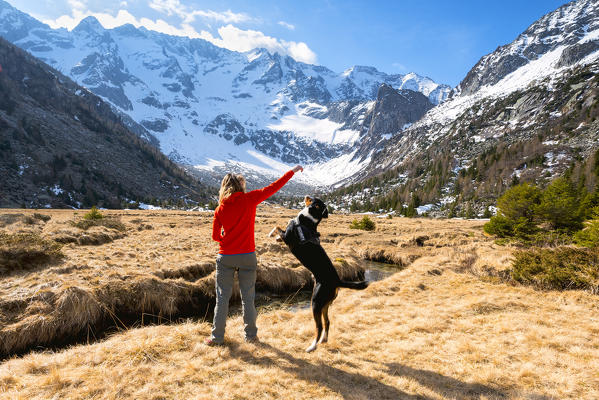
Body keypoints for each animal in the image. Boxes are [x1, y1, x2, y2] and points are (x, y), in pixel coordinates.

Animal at [270, 195, 368, 352]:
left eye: (313, 199)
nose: (307, 196)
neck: (308, 220)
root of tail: (337, 280)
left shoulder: (288, 236)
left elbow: (278, 227)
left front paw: (273, 234)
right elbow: (279, 229)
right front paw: (276, 238)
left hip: (315, 303)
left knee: (319, 326)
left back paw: (312, 346)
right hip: (325, 304)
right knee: (328, 322)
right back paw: (324, 340)